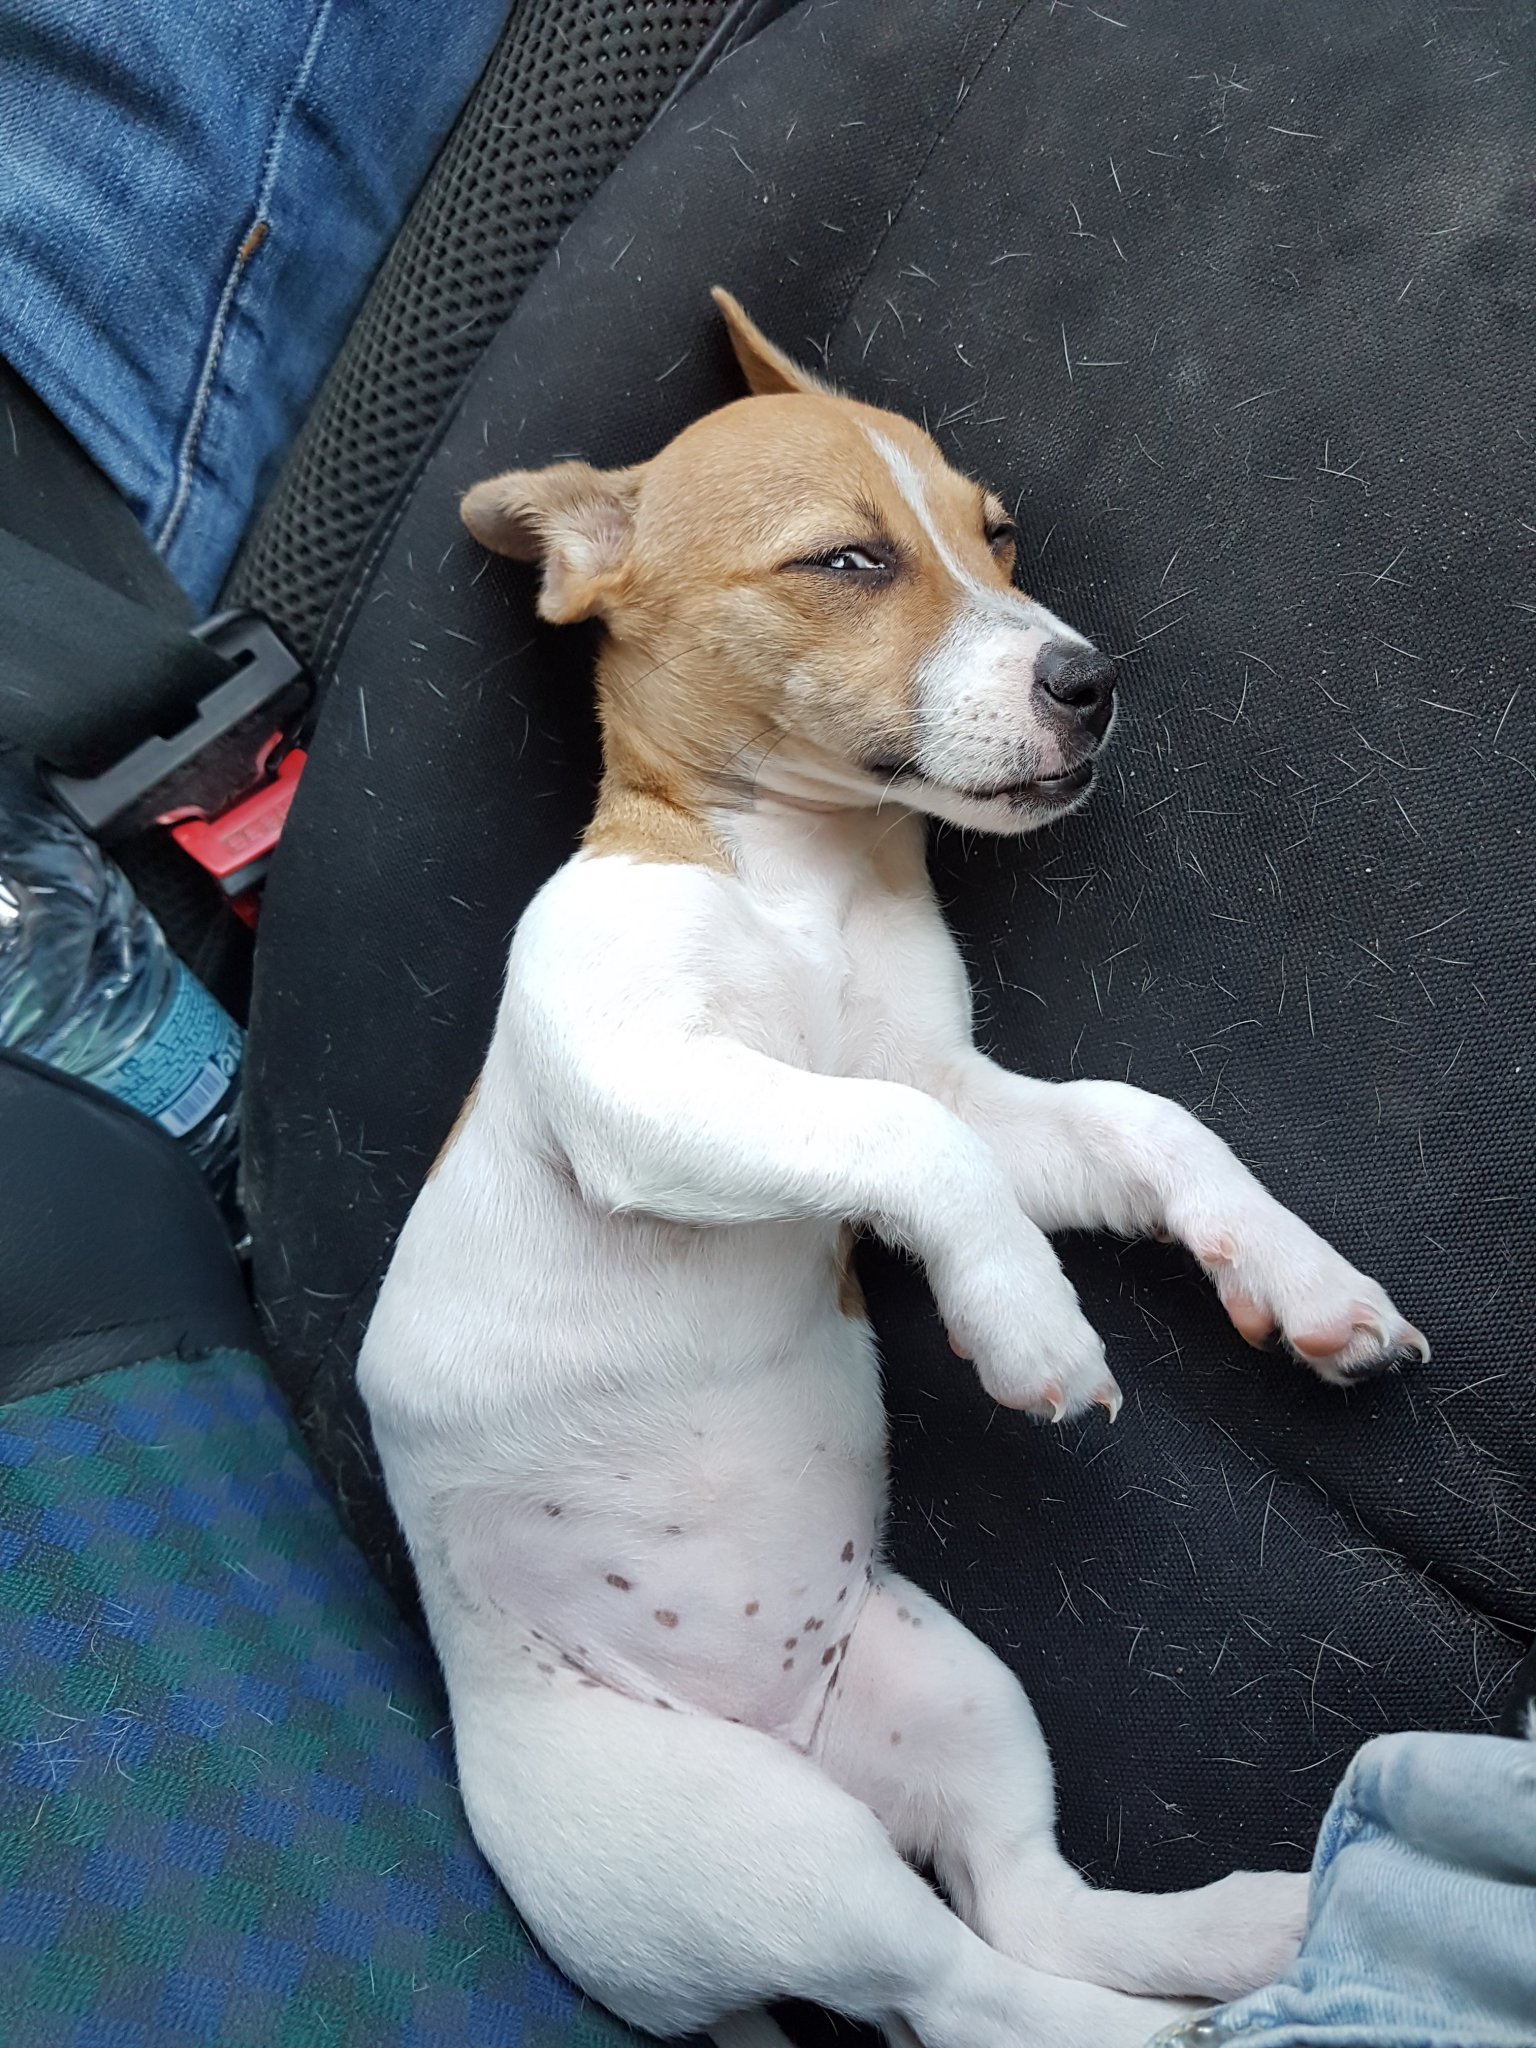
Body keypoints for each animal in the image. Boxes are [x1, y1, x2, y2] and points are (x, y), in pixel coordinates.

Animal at [358, 291, 1428, 2048]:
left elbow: (1140, 1119)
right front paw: (1031, 1320)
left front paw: (1299, 1278)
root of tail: (793, 1729)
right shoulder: (658, 1088)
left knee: (1030, 1908)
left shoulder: (963, 1090)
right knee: (966, 1991)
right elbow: (903, 1144)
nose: (1091, 680)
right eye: (850, 561)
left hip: (952, 1692)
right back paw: (1198, 2017)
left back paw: (1253, 1926)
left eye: (998, 536)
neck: (810, 875)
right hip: (761, 1850)